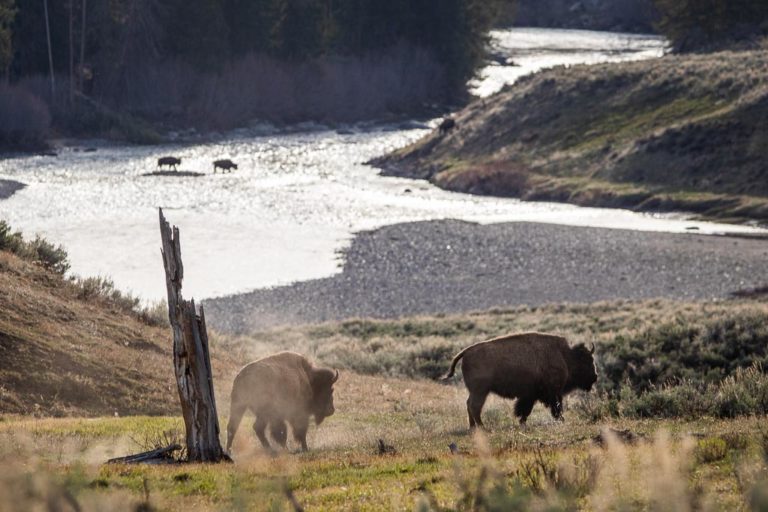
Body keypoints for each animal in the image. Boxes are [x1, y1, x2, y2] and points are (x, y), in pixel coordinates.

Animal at [440, 332, 596, 428]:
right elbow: (555, 407)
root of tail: (466, 352)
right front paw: (562, 420)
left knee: (469, 405)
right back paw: (482, 427)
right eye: (587, 361)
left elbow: (525, 410)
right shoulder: (552, 393)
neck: (565, 356)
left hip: (477, 392)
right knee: (474, 406)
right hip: (481, 391)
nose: (595, 377)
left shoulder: (530, 395)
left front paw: (522, 423)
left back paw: (473, 427)